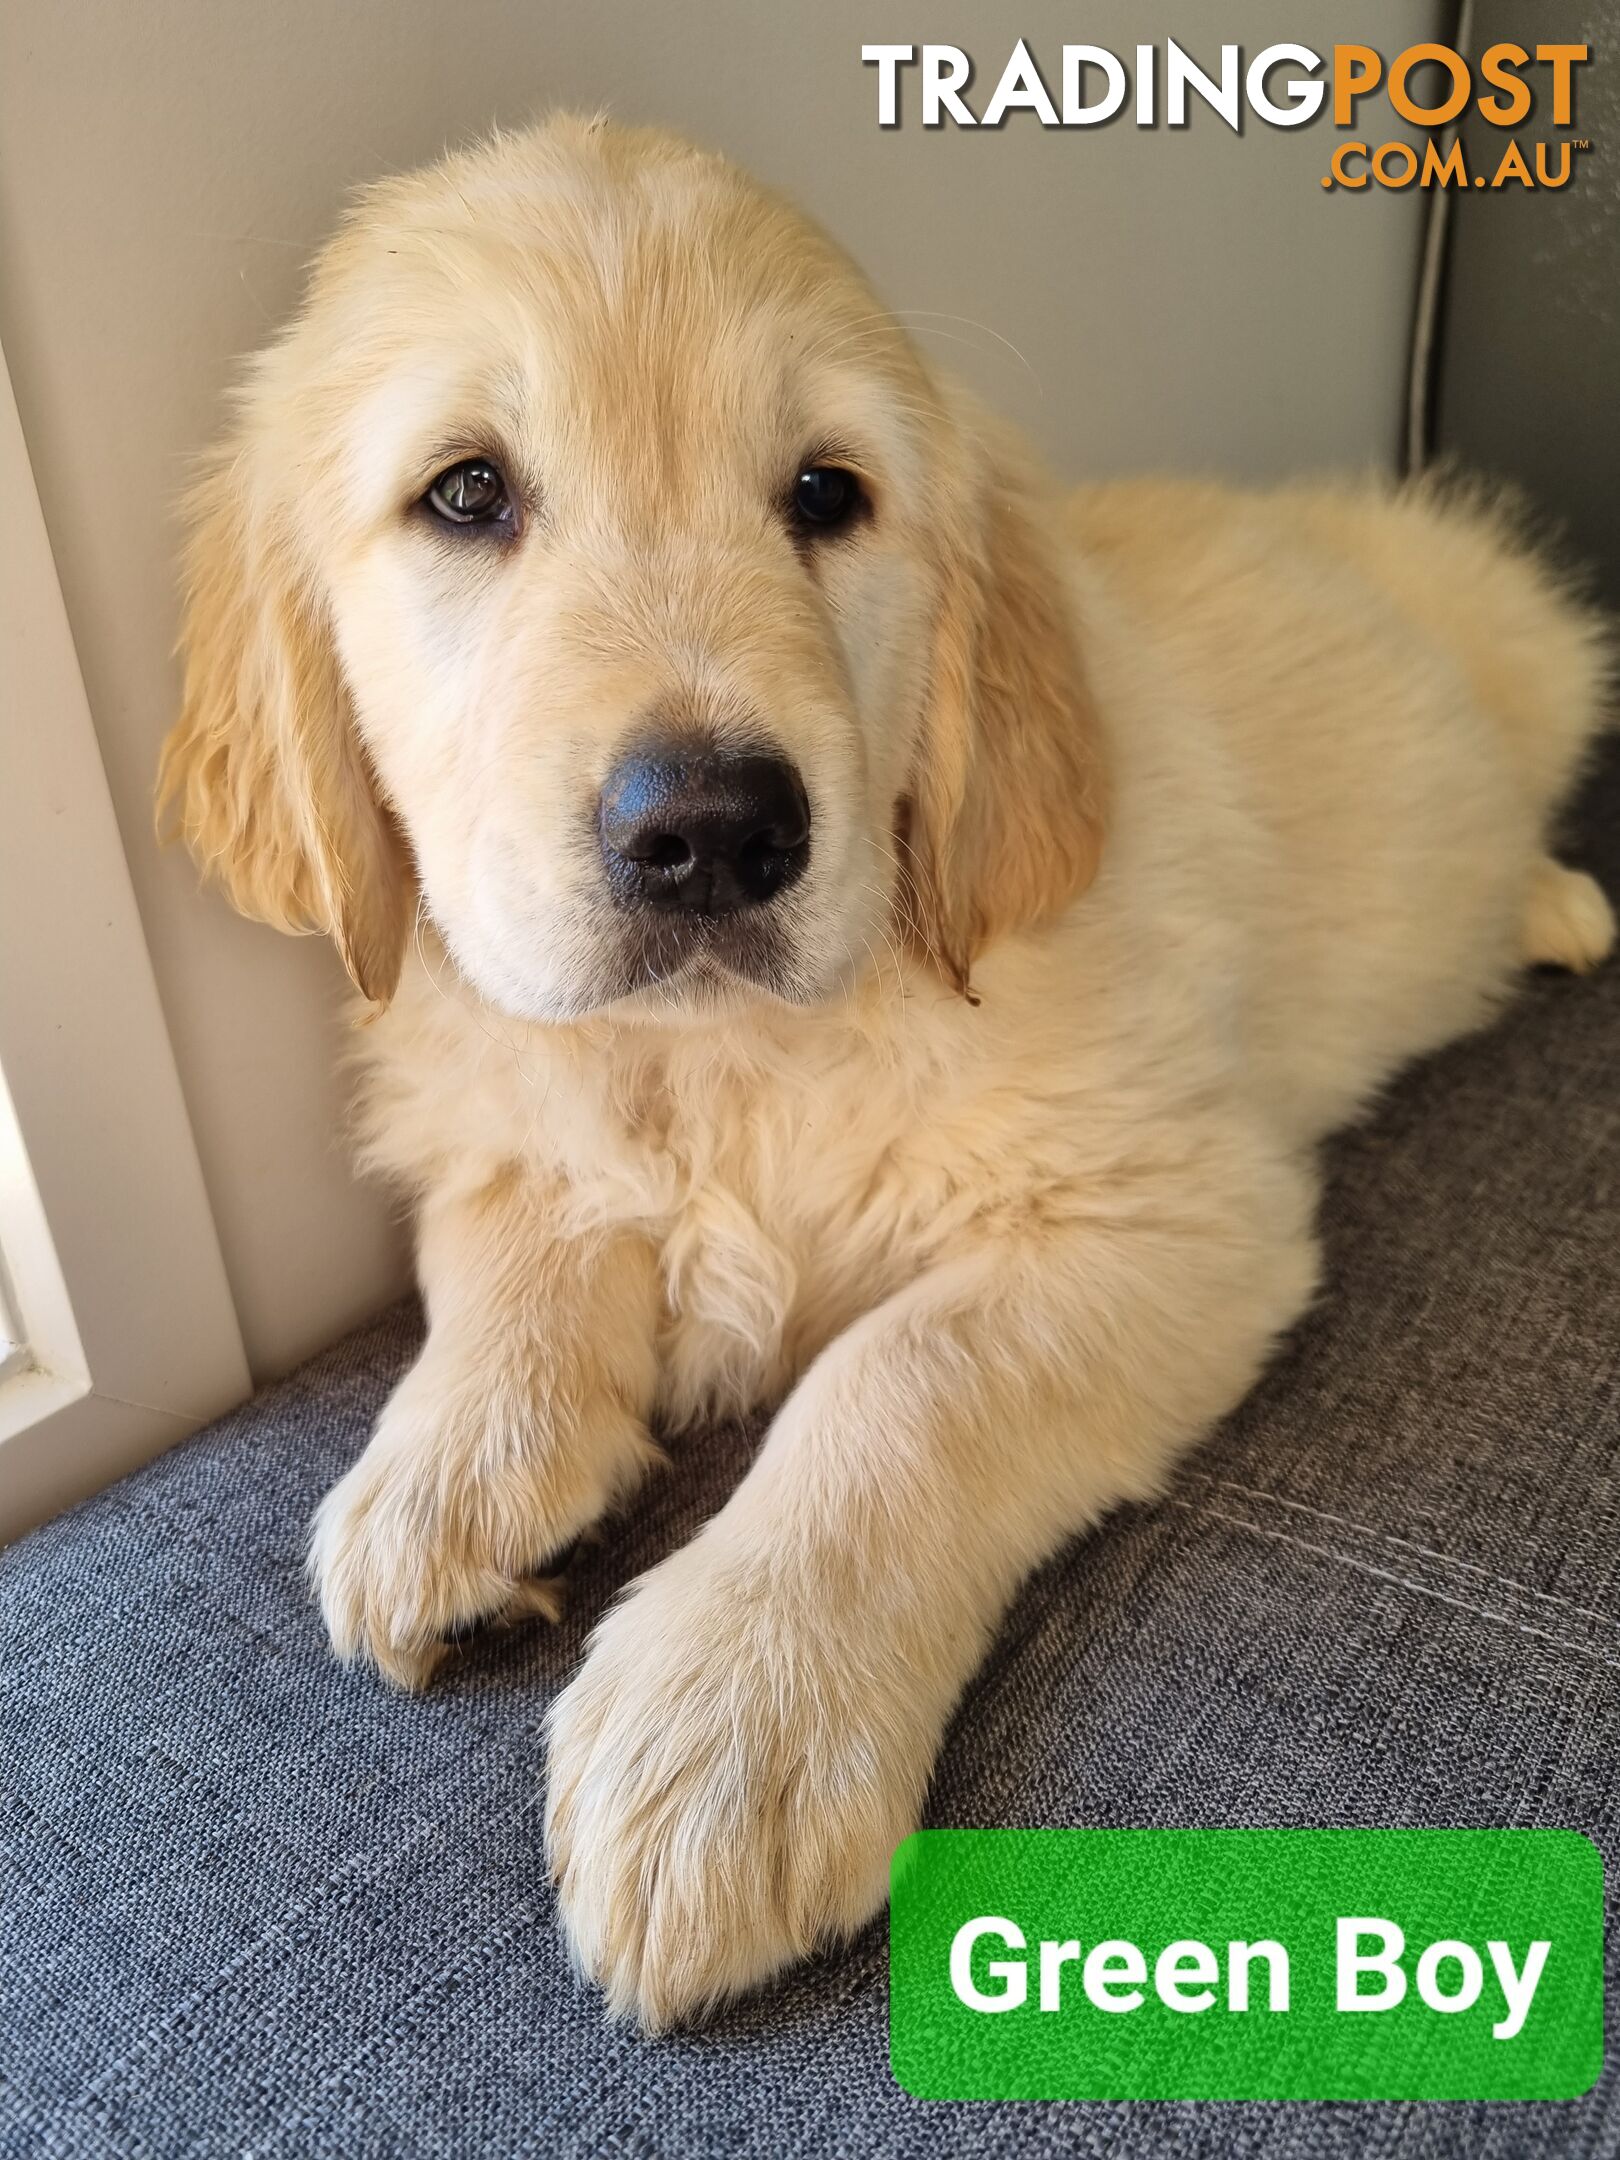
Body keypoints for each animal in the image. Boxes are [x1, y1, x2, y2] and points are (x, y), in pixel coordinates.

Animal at [158, 109, 1607, 2030]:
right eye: (467, 494)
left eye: (826, 496)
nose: (710, 829)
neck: (725, 1064)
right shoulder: (487, 1113)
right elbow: (509, 1256)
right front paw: (448, 1472)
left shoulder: (1176, 1213)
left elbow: (896, 1383)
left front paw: (731, 1718)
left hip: (1524, 649)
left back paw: (1558, 904)